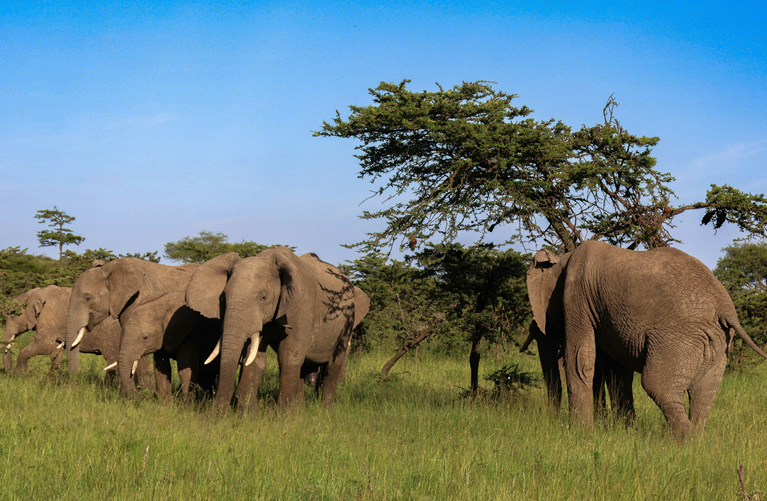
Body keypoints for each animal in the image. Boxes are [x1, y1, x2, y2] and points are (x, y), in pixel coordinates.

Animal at [185, 247, 359, 413]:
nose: (215, 418)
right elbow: (255, 359)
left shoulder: (302, 307)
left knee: (332, 366)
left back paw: (327, 409)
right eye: (223, 299)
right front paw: (249, 415)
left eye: (263, 298)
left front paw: (283, 417)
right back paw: (300, 410)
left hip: (347, 321)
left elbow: (288, 357)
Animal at [526, 239, 767, 439]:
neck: (564, 258)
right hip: (717, 341)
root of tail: (725, 308)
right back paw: (698, 442)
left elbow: (580, 361)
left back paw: (685, 444)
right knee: (703, 393)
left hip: (678, 336)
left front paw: (580, 433)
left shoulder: (577, 296)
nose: (552, 420)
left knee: (657, 385)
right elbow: (617, 371)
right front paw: (624, 431)